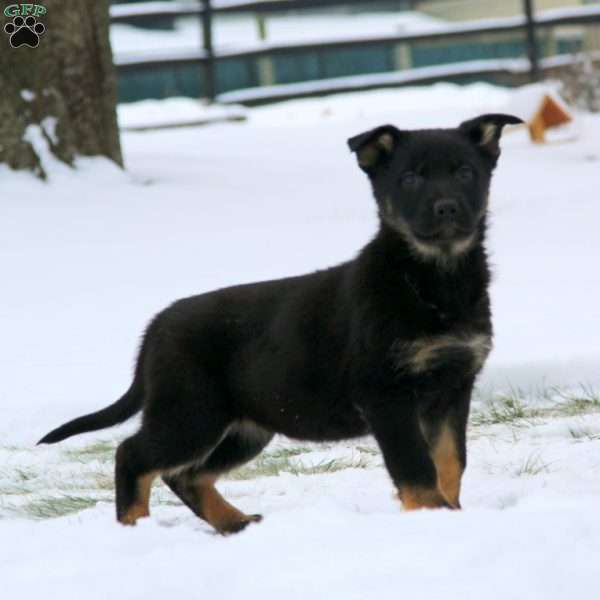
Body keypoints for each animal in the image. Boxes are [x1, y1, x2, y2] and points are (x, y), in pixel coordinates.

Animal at [39, 112, 524, 536]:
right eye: (409, 179)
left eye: (465, 172)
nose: (446, 208)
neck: (432, 281)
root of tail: (155, 327)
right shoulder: (385, 395)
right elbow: (417, 469)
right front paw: (435, 516)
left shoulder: (453, 387)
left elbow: (450, 462)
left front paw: (451, 513)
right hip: (191, 412)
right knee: (133, 455)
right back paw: (134, 528)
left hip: (245, 426)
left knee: (186, 475)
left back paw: (233, 523)